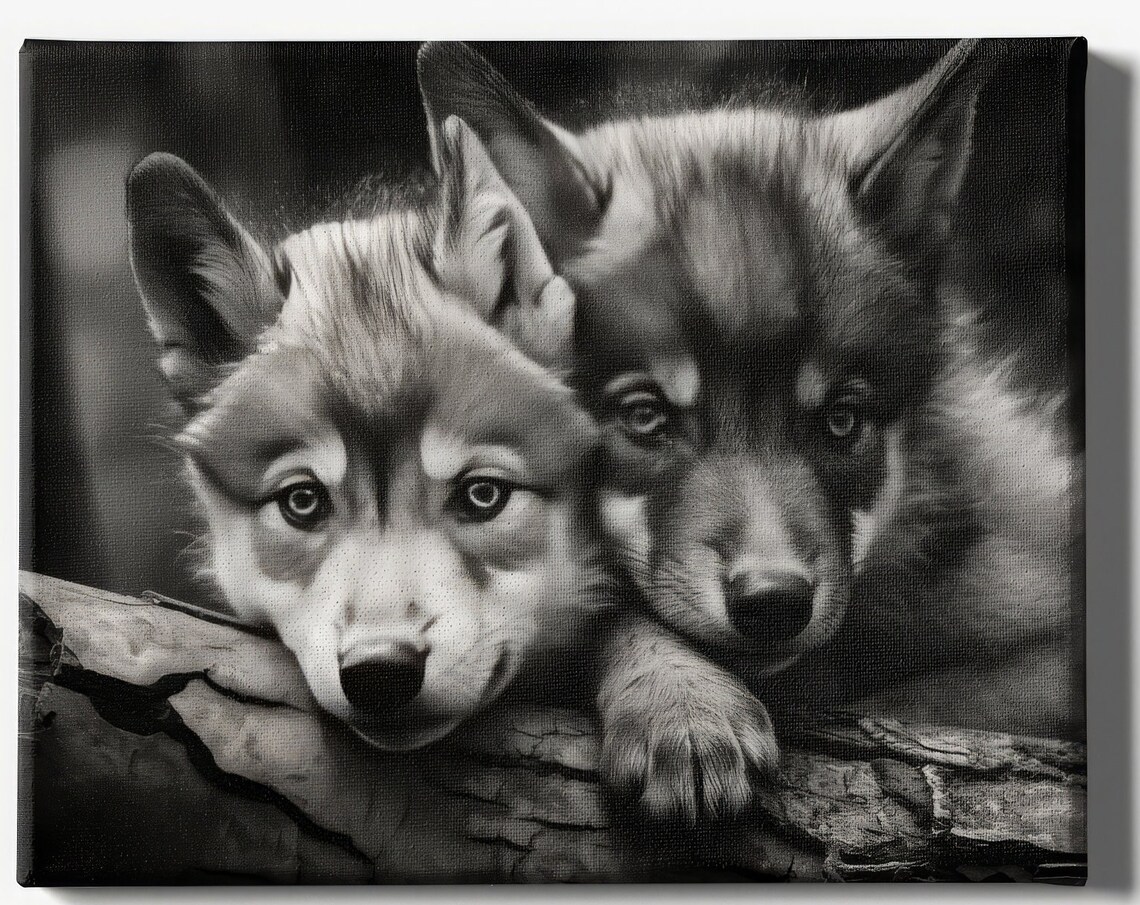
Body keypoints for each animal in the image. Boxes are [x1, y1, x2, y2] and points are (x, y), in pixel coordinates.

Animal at [418, 39, 1082, 816]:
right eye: (645, 416)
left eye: (841, 421)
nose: (774, 604)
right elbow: (613, 610)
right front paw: (682, 702)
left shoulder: (1044, 626)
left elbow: (921, 696)